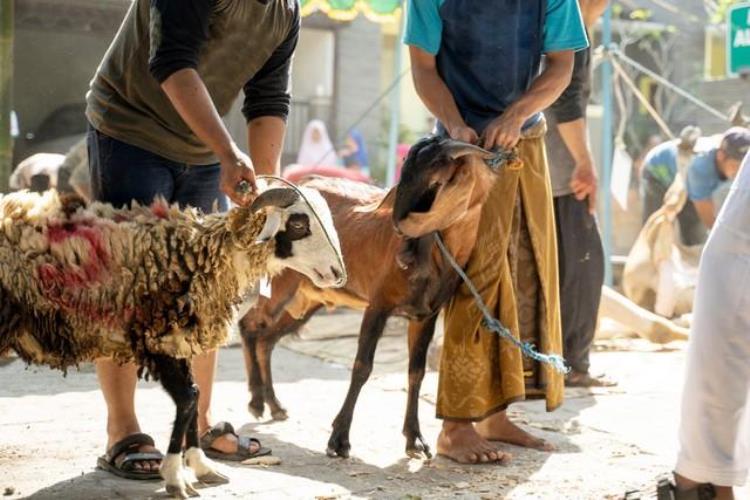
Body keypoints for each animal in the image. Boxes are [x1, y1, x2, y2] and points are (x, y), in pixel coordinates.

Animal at [241, 135, 500, 458]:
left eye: (437, 180)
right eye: (406, 168)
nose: (403, 246)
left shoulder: (424, 315)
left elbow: (416, 372)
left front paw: (415, 438)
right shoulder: (378, 305)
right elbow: (363, 366)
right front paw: (339, 439)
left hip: (308, 300)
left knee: (267, 339)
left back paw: (275, 405)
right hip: (280, 286)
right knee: (251, 326)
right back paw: (256, 401)